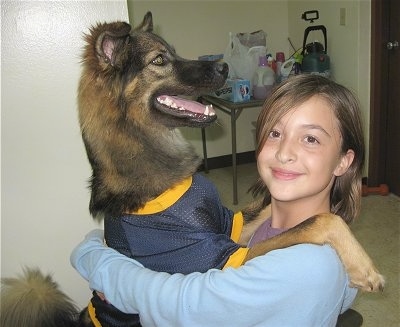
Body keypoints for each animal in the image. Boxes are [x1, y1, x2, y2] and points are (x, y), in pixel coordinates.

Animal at [1, 10, 386, 327]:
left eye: (173, 52)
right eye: (160, 60)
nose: (224, 68)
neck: (145, 151)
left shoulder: (230, 227)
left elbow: (295, 215)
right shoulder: (222, 261)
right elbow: (319, 219)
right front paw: (365, 267)